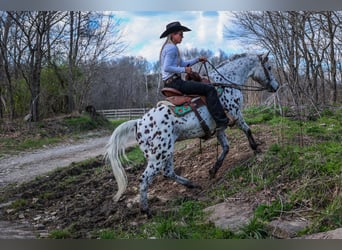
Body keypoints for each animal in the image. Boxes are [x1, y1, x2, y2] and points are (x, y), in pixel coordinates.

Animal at [105, 51, 280, 216]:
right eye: (270, 67)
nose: (276, 86)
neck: (226, 82)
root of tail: (138, 123)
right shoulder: (235, 114)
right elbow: (247, 129)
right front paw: (256, 148)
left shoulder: (220, 127)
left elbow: (226, 148)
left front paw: (213, 170)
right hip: (158, 156)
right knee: (145, 179)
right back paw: (146, 210)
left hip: (167, 151)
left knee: (168, 172)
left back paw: (192, 184)